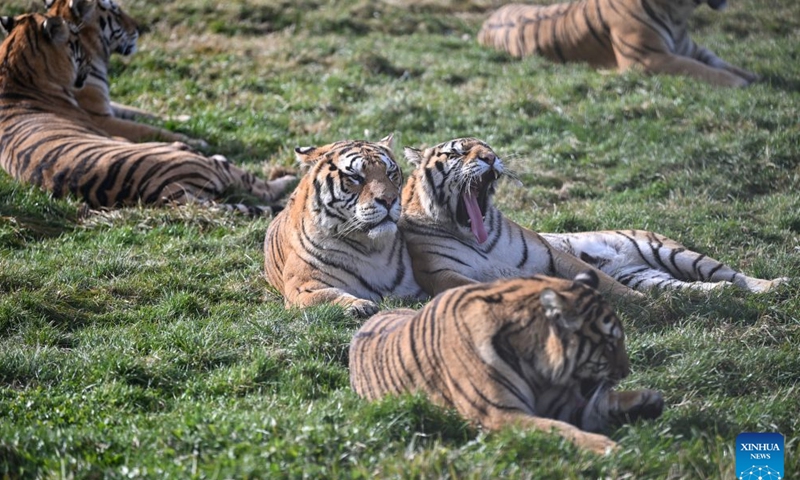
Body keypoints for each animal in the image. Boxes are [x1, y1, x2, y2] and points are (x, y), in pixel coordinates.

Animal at [44, 0, 205, 146]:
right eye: (116, 13)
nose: (138, 28)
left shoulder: (108, 104)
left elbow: (140, 111)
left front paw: (184, 118)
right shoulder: (99, 117)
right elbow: (146, 128)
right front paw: (195, 141)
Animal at [264, 135, 425, 318]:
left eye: (390, 173)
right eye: (356, 177)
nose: (389, 200)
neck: (373, 248)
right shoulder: (301, 287)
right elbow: (328, 294)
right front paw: (360, 305)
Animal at [350, 271, 665, 454]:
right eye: (610, 344)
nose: (626, 370)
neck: (538, 368)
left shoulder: (560, 402)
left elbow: (598, 404)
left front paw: (646, 399)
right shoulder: (501, 414)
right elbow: (561, 429)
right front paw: (606, 446)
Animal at [399, 137, 786, 296]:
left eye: (487, 147)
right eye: (457, 153)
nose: (491, 158)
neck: (471, 234)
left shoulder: (550, 254)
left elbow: (602, 281)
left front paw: (636, 304)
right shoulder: (441, 274)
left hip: (674, 252)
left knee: (734, 274)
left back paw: (774, 285)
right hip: (650, 275)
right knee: (700, 287)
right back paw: (715, 294)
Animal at [477, 0, 758, 87]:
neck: (679, 14)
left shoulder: (690, 48)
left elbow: (717, 62)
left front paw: (752, 76)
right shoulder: (648, 58)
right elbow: (697, 68)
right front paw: (738, 82)